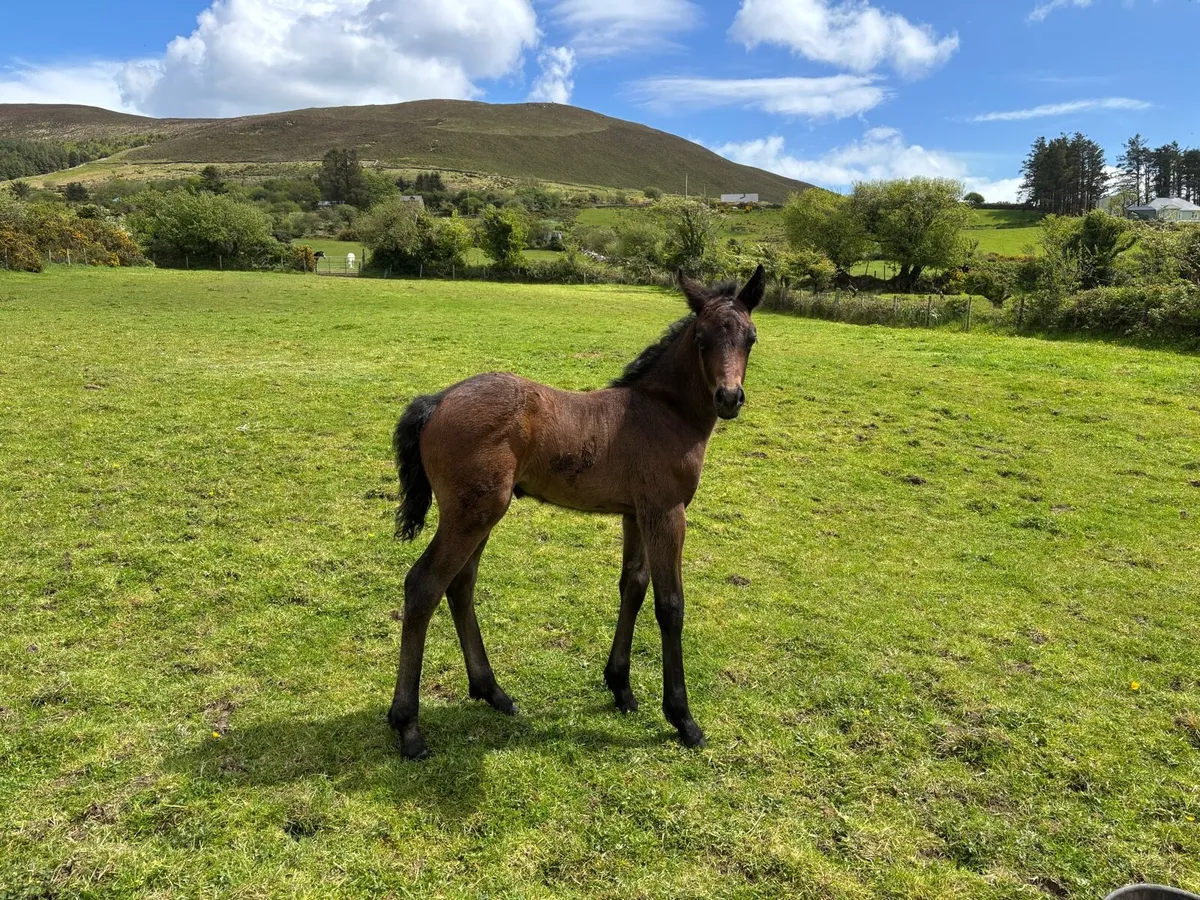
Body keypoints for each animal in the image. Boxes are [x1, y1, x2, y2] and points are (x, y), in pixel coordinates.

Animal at [388, 265, 765, 759]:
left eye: (750, 337)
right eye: (702, 339)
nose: (729, 397)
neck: (665, 413)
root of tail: (437, 401)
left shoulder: (636, 514)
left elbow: (632, 586)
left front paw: (620, 687)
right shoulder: (667, 513)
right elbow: (670, 605)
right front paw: (683, 719)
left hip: (479, 513)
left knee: (460, 584)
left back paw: (492, 692)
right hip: (472, 514)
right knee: (424, 586)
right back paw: (408, 726)